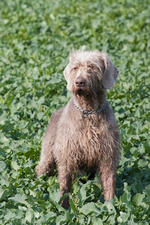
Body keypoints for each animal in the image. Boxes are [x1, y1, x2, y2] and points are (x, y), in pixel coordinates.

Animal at [36, 50, 120, 208]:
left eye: (92, 67)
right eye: (75, 68)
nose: (79, 82)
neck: (88, 111)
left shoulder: (108, 155)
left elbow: (109, 185)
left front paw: (110, 208)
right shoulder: (67, 155)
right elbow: (64, 187)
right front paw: (63, 208)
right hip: (47, 156)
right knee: (41, 169)